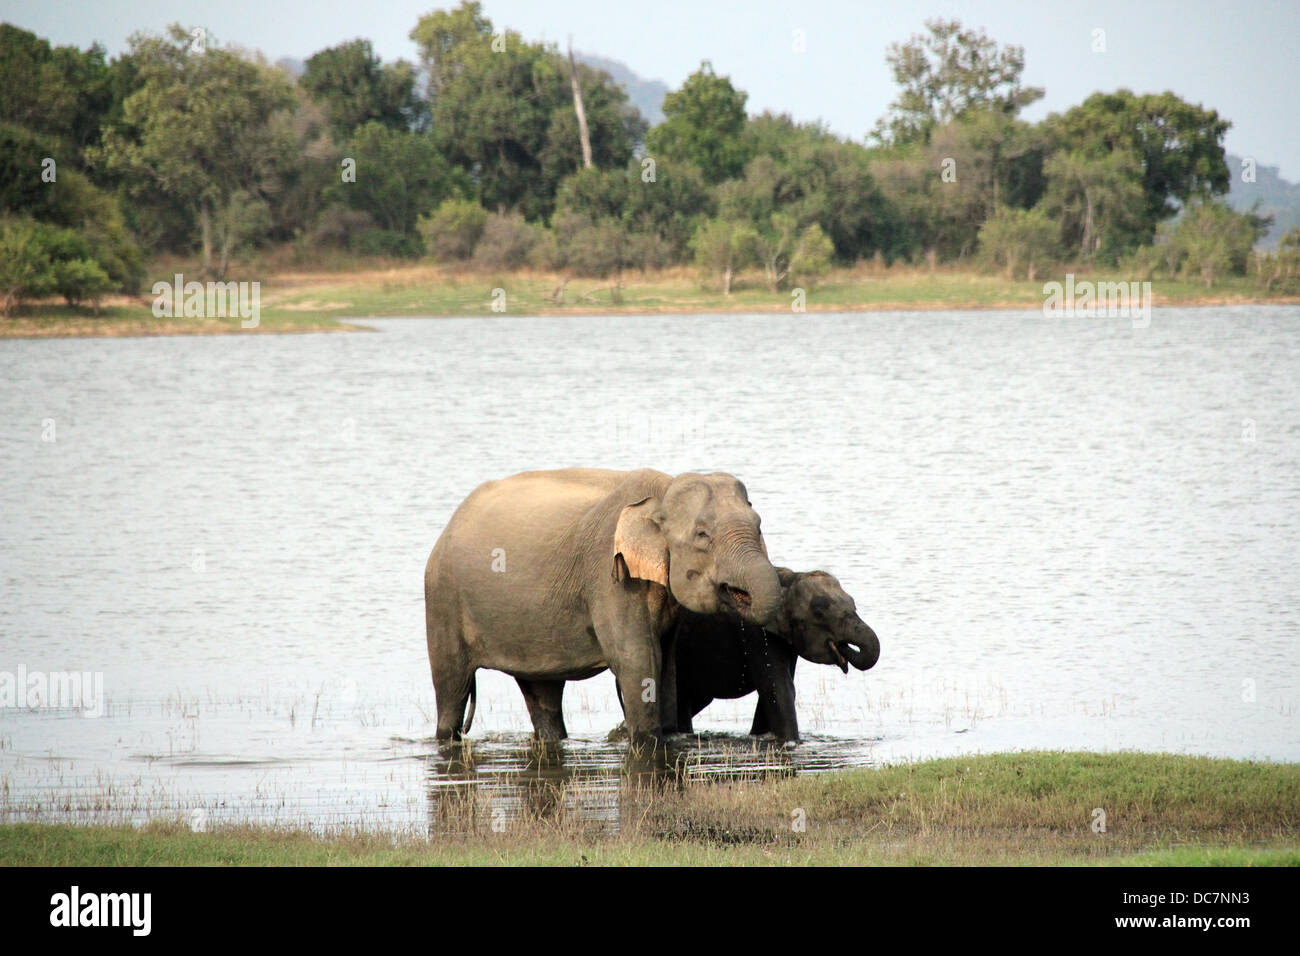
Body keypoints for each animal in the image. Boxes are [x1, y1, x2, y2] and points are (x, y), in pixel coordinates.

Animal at [423, 468, 780, 743]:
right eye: (702, 535)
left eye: (759, 525)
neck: (663, 491)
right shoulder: (610, 578)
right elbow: (636, 659)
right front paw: (646, 740)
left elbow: (665, 660)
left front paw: (668, 734)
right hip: (443, 599)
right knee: (452, 688)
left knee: (542, 692)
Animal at [665, 564, 878, 743]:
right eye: (818, 613)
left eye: (854, 604)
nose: (841, 648)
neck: (789, 579)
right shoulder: (756, 632)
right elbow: (779, 689)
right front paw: (792, 742)